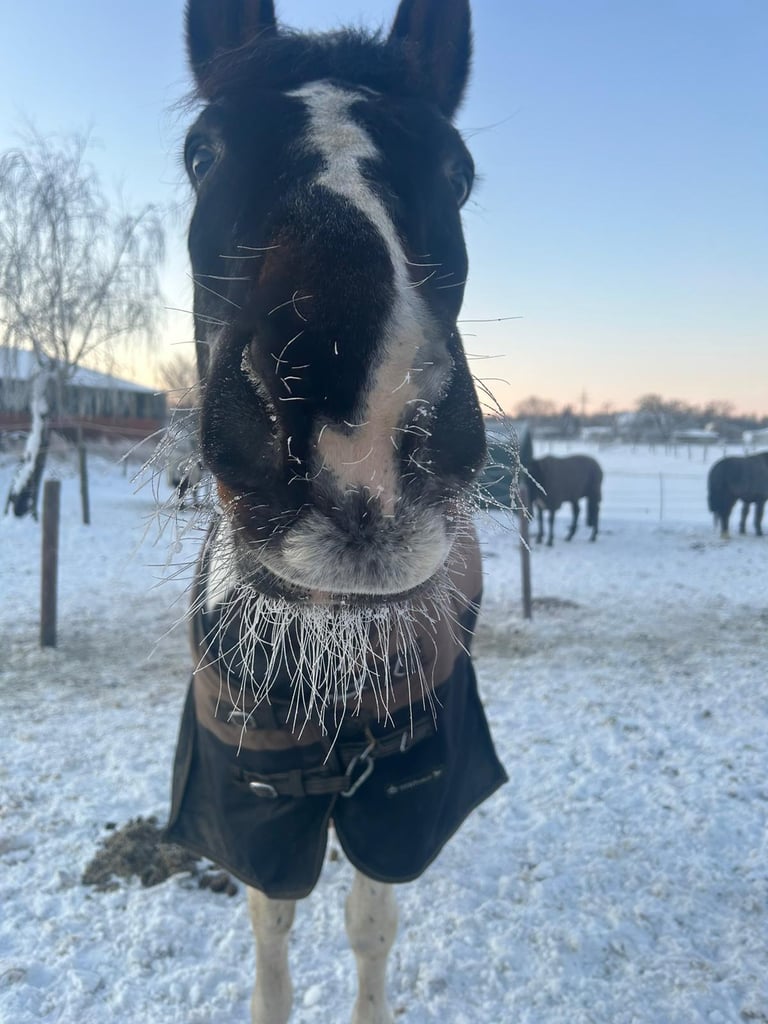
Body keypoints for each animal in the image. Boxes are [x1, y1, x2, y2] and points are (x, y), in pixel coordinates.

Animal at [163, 3, 507, 1022]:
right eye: (203, 153)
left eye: (457, 172)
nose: (359, 431)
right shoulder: (250, 802)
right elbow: (271, 930)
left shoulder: (400, 793)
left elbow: (370, 926)